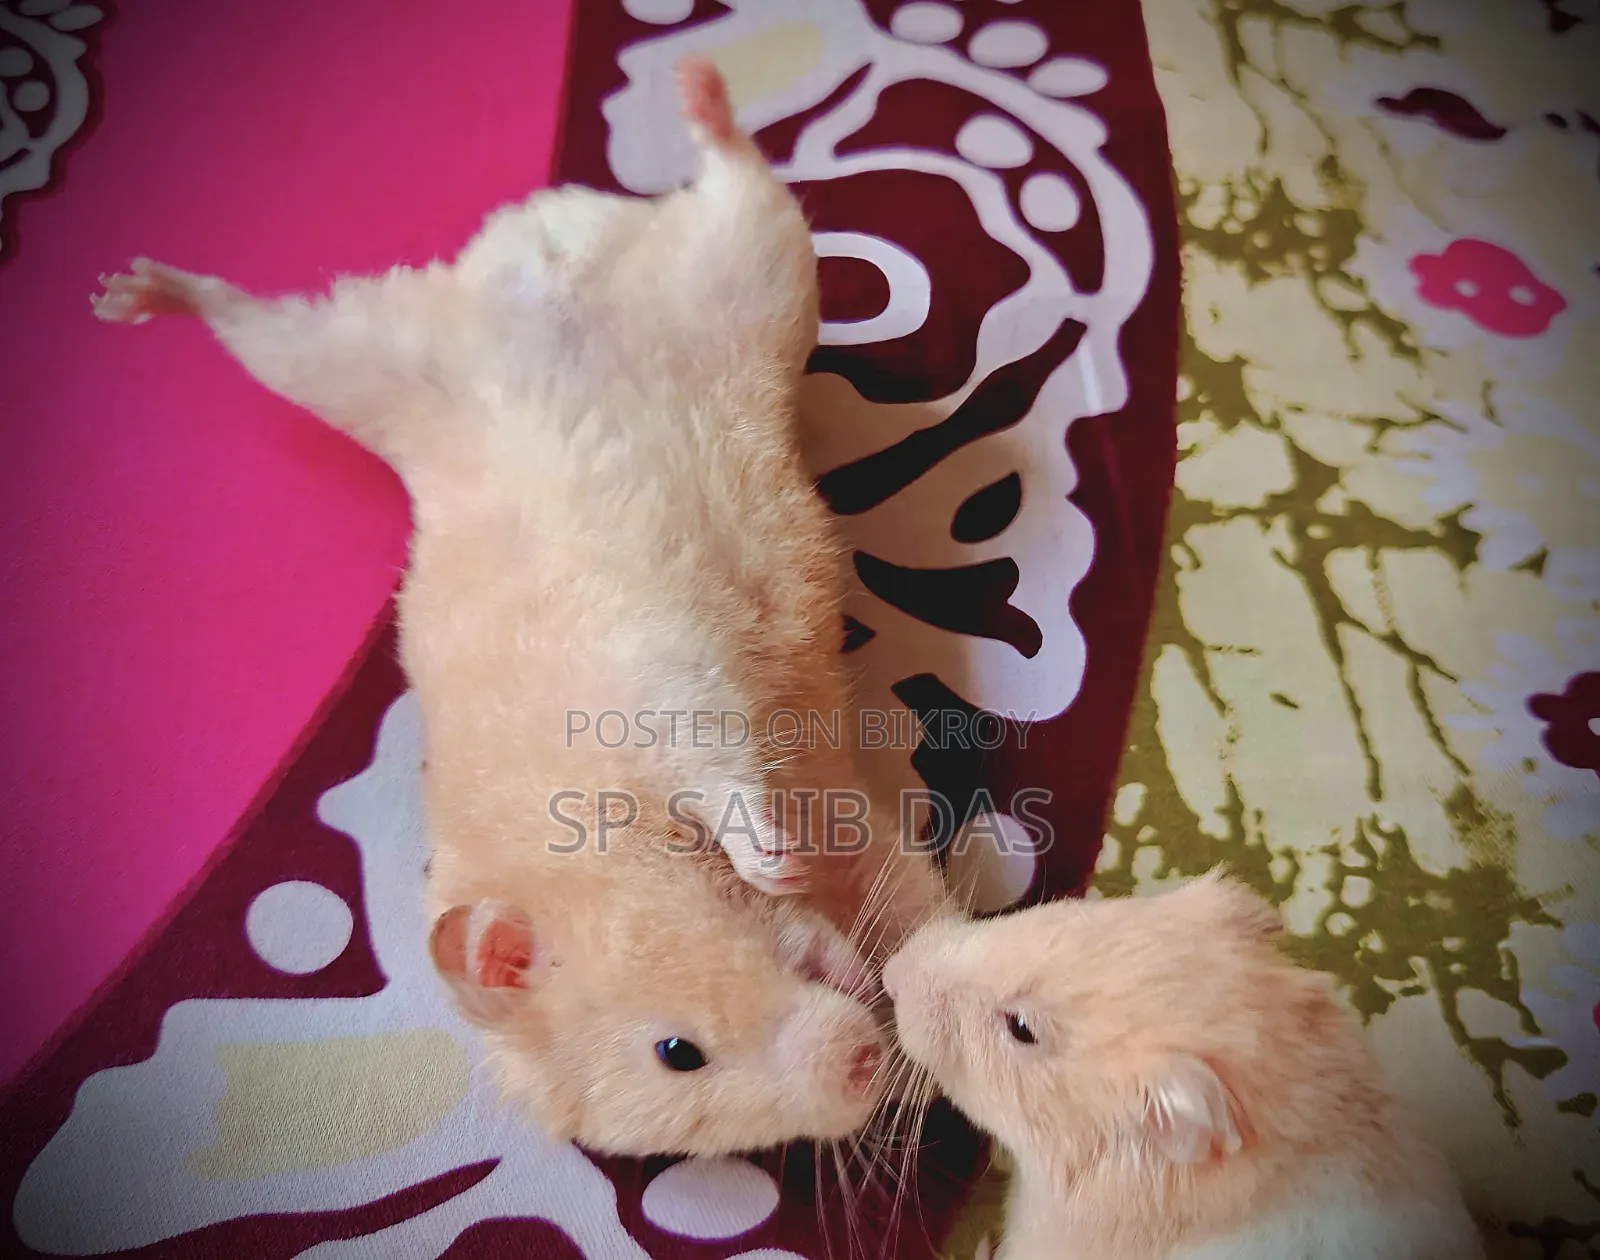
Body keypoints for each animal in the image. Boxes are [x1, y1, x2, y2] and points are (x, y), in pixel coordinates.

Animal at [91, 58, 947, 1157]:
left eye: (676, 1049)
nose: (861, 1067)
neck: (595, 841)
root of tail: (534, 241)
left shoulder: (659, 699)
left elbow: (730, 791)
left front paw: (777, 868)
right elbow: (863, 925)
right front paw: (852, 964)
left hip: (748, 281)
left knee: (739, 177)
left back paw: (695, 87)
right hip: (368, 355)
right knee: (252, 315)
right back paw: (139, 292)